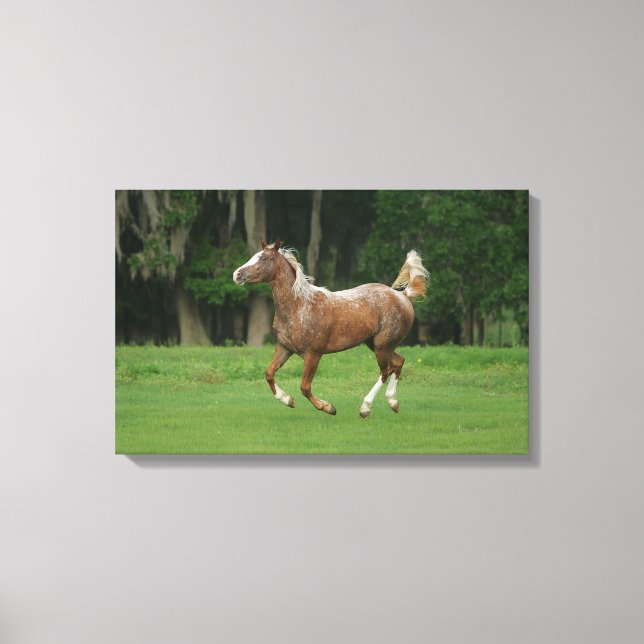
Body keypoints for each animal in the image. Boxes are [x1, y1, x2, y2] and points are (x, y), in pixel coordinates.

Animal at [232, 240, 429, 418]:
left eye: (264, 258)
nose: (236, 274)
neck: (298, 306)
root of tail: (403, 295)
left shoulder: (314, 354)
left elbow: (304, 387)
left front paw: (328, 408)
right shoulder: (285, 348)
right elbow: (269, 373)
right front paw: (288, 400)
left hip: (382, 345)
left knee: (385, 371)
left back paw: (365, 408)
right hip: (377, 344)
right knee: (398, 362)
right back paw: (393, 402)